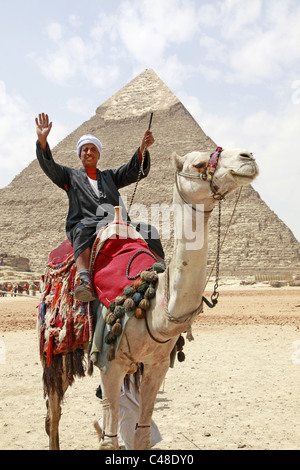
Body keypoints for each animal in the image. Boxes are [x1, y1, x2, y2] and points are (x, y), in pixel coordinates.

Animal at [42, 148, 258, 452]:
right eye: (199, 164)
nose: (247, 157)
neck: (155, 308)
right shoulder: (109, 364)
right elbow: (109, 440)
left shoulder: (157, 366)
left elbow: (142, 434)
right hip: (55, 348)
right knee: (54, 412)